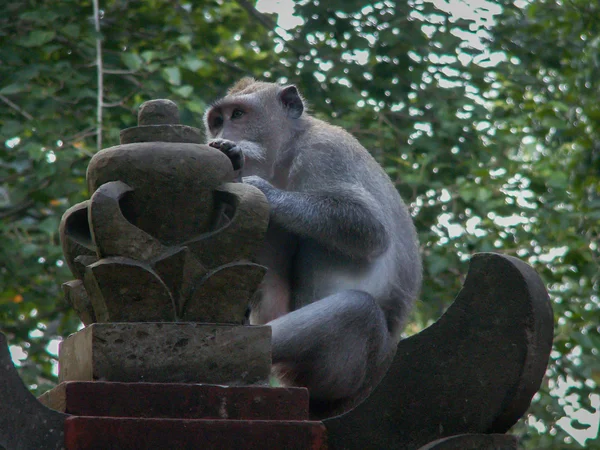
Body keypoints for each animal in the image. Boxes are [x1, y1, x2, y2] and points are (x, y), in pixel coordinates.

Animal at [204, 78, 420, 418]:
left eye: (237, 114)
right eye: (216, 121)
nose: (220, 135)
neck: (286, 154)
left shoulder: (325, 152)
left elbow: (371, 228)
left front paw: (254, 183)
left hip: (347, 371)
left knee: (358, 308)